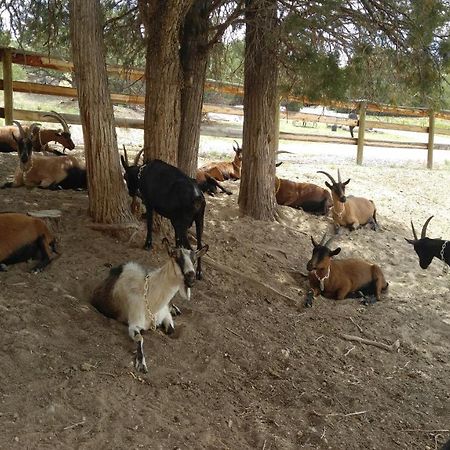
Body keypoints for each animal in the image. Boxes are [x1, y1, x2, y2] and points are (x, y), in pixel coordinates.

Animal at [92, 239, 211, 372]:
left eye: (195, 260)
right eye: (175, 256)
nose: (191, 278)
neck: (152, 303)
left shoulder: (165, 315)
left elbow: (171, 330)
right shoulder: (133, 323)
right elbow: (140, 338)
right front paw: (141, 363)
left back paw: (175, 309)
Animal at [121, 148, 209, 280]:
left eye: (125, 176)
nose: (131, 193)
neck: (143, 172)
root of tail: (198, 197)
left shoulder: (149, 204)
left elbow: (149, 224)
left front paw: (147, 244)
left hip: (181, 223)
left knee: (191, 248)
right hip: (199, 221)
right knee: (199, 245)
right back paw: (199, 272)